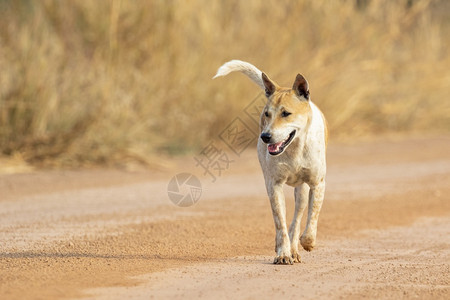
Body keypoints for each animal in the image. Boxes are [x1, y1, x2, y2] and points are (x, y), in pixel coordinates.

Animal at [214, 59, 326, 264]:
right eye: (266, 113)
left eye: (286, 113)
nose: (265, 137)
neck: (294, 149)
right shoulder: (274, 185)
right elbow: (280, 222)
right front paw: (283, 253)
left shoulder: (317, 183)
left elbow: (311, 217)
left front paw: (307, 242)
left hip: (302, 191)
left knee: (298, 217)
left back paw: (296, 248)